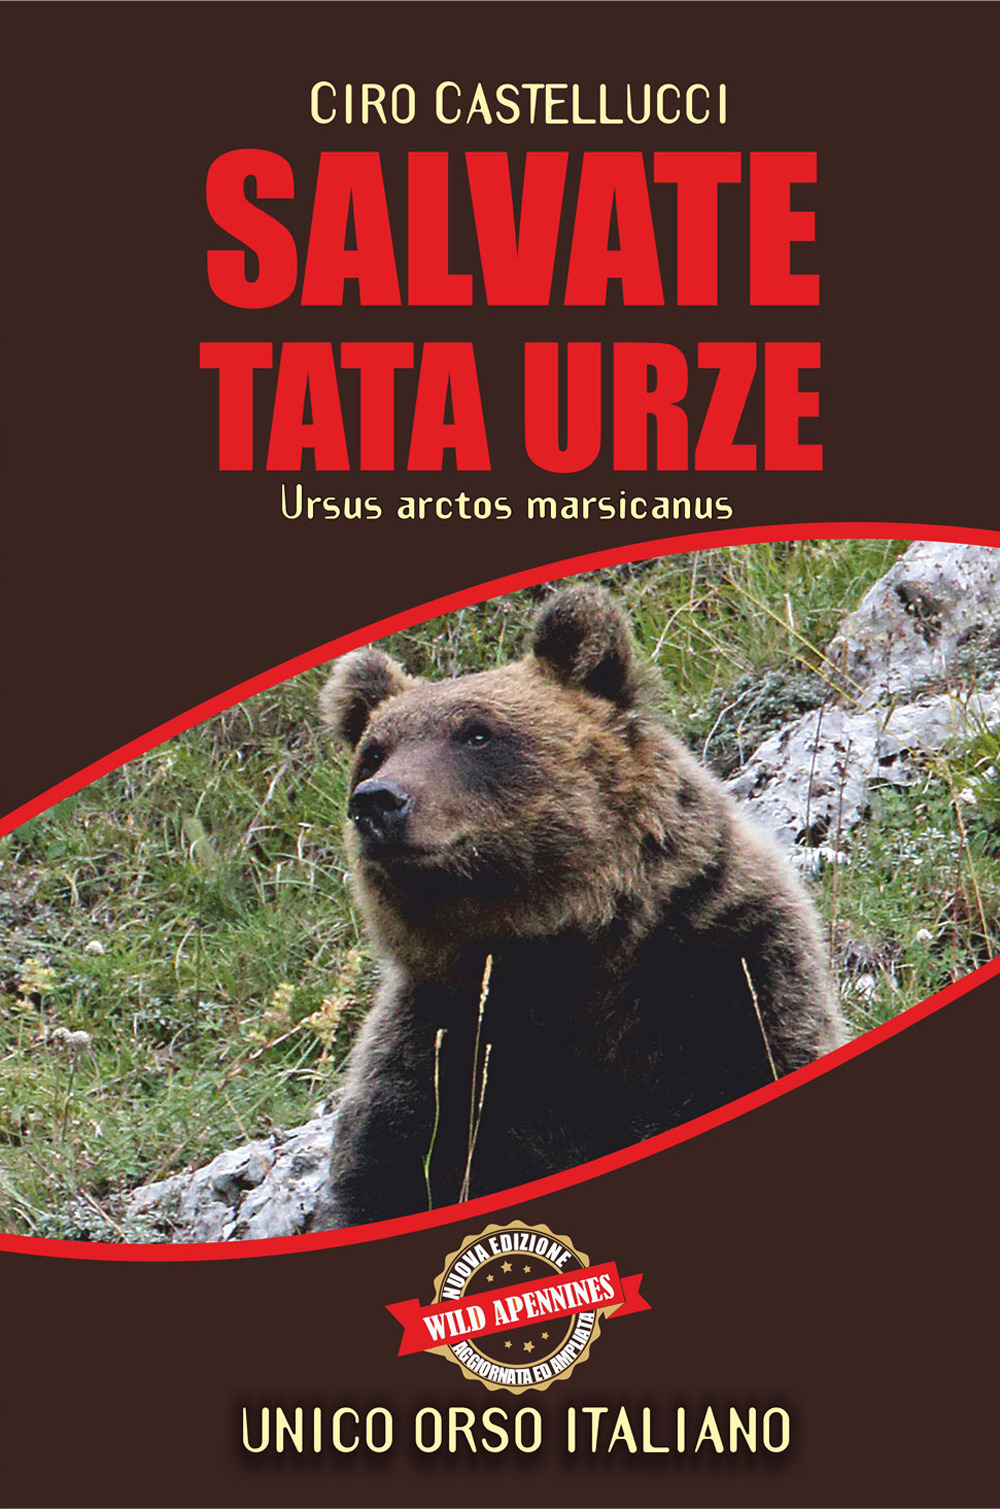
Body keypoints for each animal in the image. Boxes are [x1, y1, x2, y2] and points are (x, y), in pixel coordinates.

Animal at [318, 585, 844, 1229]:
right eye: (374, 752)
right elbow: (389, 1172)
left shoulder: (724, 971)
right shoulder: (443, 1048)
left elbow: (755, 1055)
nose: (378, 802)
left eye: (476, 733)